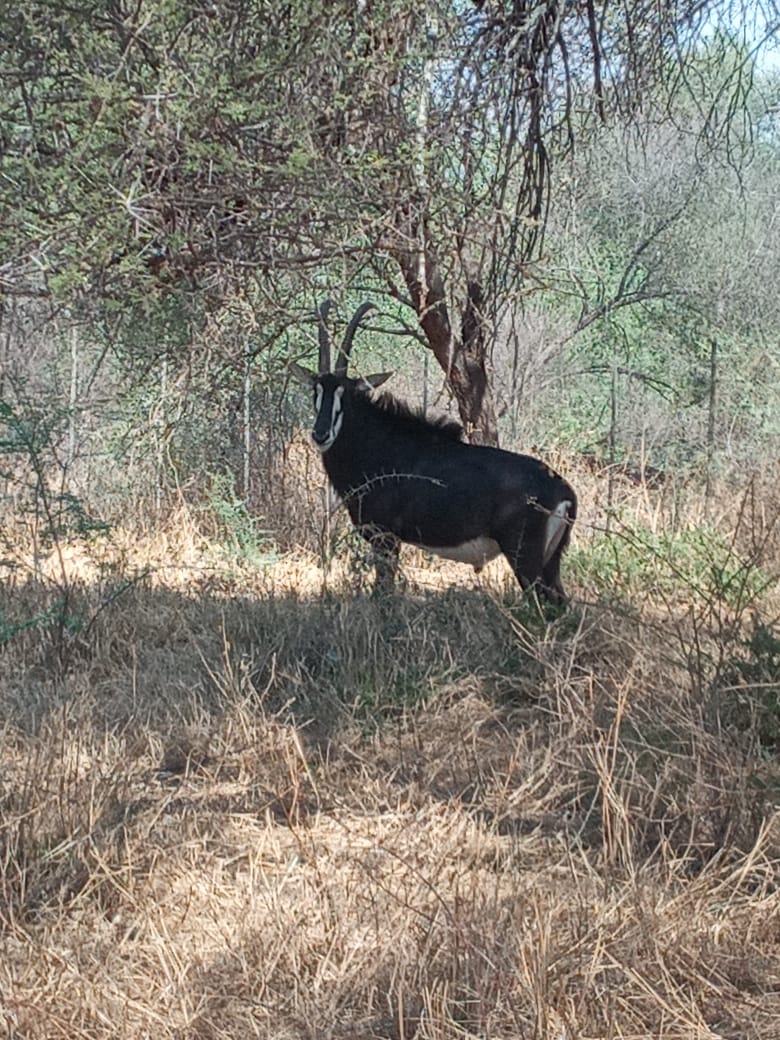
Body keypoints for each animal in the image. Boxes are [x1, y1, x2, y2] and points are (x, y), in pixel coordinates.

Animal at [291, 302, 577, 604]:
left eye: (344, 394)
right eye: (315, 391)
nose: (321, 434)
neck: (379, 445)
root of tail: (565, 491)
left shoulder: (385, 538)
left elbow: (383, 591)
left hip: (525, 558)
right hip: (551, 561)